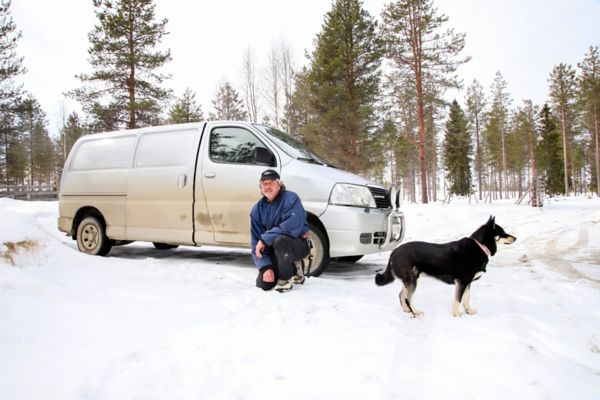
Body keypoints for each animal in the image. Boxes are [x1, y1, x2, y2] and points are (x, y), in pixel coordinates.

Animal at [376, 217, 516, 318]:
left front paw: (469, 311)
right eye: (503, 233)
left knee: (401, 296)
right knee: (407, 298)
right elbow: (458, 300)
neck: (480, 246)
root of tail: (394, 252)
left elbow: (466, 299)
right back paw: (415, 312)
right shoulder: (462, 282)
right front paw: (457, 314)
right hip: (412, 280)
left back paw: (407, 311)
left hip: (409, 280)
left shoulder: (468, 282)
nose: (515, 238)